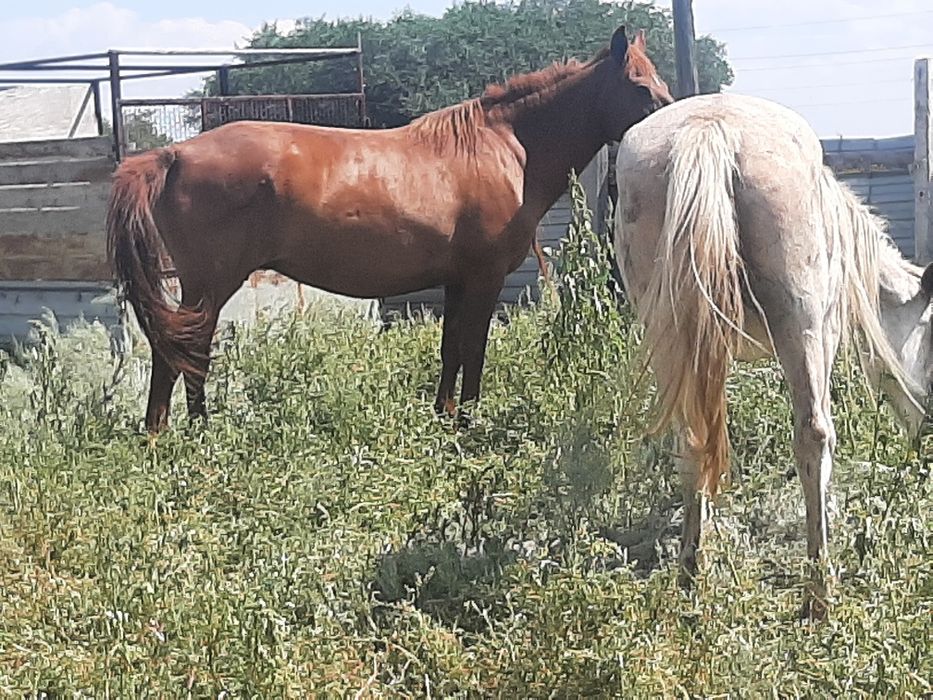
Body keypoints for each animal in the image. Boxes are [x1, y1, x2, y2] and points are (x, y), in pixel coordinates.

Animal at [106, 26, 672, 433]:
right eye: (639, 86)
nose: (670, 123)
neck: (505, 148)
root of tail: (172, 154)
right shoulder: (484, 279)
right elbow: (474, 348)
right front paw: (470, 422)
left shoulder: (457, 281)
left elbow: (450, 347)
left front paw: (445, 417)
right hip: (211, 282)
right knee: (182, 348)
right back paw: (180, 434)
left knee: (186, 348)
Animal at [613, 92, 932, 617]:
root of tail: (709, 131)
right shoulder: (823, 333)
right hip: (799, 326)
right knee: (813, 435)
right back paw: (819, 592)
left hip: (669, 334)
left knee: (690, 440)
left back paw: (690, 575)